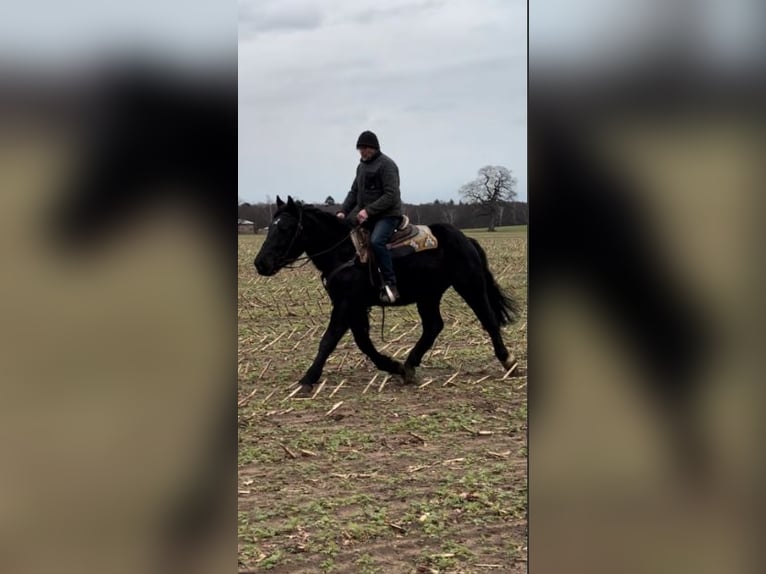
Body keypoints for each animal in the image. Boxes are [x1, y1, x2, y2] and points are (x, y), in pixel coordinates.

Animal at [256, 196, 520, 394]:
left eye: (285, 228)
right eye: (271, 227)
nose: (260, 263)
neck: (345, 251)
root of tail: (466, 239)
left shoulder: (346, 304)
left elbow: (329, 339)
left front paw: (308, 379)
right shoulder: (354, 306)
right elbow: (363, 341)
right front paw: (394, 366)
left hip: (470, 285)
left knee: (488, 319)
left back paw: (508, 361)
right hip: (428, 296)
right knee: (434, 326)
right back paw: (410, 365)